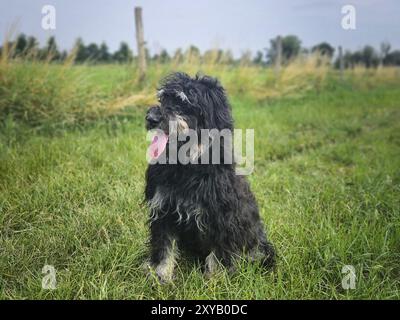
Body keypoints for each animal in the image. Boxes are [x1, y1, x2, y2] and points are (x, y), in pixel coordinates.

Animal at [144, 72, 276, 282]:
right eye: (162, 99)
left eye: (183, 102)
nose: (150, 118)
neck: (187, 166)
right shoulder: (163, 210)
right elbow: (164, 246)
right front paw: (160, 274)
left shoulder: (222, 217)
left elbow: (218, 255)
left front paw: (214, 280)